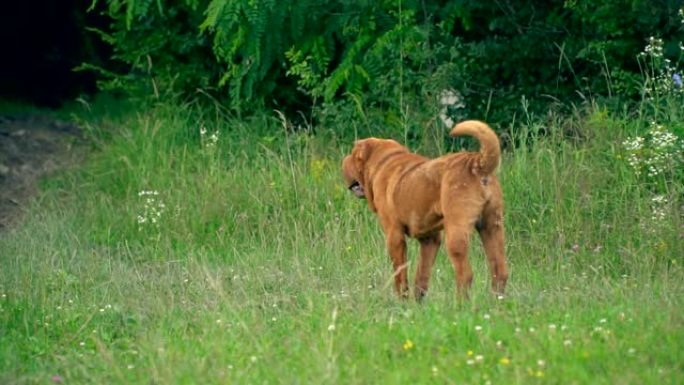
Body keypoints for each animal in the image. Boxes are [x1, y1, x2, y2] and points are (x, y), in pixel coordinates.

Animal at [342, 119, 508, 296]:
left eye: (352, 155)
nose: (343, 160)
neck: (383, 161)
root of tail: (478, 163)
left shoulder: (394, 236)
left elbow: (400, 276)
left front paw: (402, 300)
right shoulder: (430, 239)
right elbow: (421, 276)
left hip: (457, 233)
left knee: (465, 275)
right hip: (492, 228)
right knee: (500, 272)